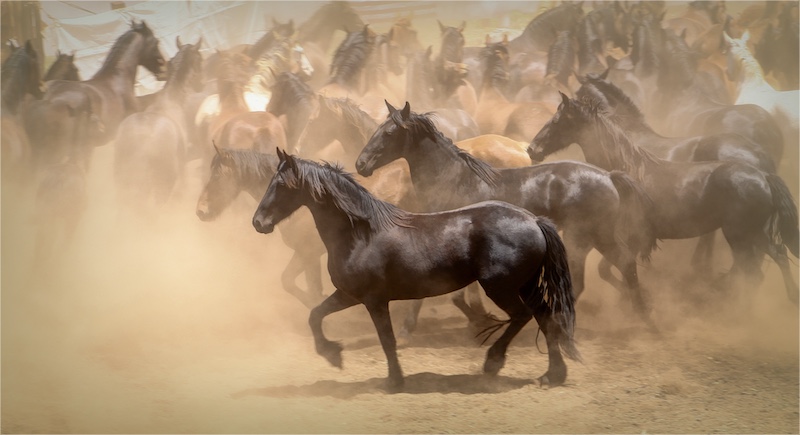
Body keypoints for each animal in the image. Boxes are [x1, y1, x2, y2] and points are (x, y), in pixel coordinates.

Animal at [252, 149, 581, 392]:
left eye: (281, 184)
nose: (258, 222)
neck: (360, 233)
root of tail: (533, 220)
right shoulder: (348, 294)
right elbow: (315, 314)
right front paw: (333, 355)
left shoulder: (373, 300)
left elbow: (387, 339)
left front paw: (394, 381)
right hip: (525, 285)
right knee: (546, 317)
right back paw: (553, 375)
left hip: (500, 287)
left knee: (523, 316)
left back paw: (493, 362)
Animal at [357, 101, 660, 334]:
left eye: (390, 132)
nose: (361, 164)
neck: (454, 179)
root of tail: (608, 176)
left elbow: (450, 293)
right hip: (596, 236)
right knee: (624, 265)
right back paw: (646, 320)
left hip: (583, 237)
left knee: (593, 276)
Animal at [529, 93, 799, 305]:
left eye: (556, 120)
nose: (532, 149)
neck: (626, 172)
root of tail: (763, 175)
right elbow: (609, 270)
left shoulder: (630, 236)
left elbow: (609, 269)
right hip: (754, 233)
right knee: (776, 257)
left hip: (740, 236)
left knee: (753, 271)